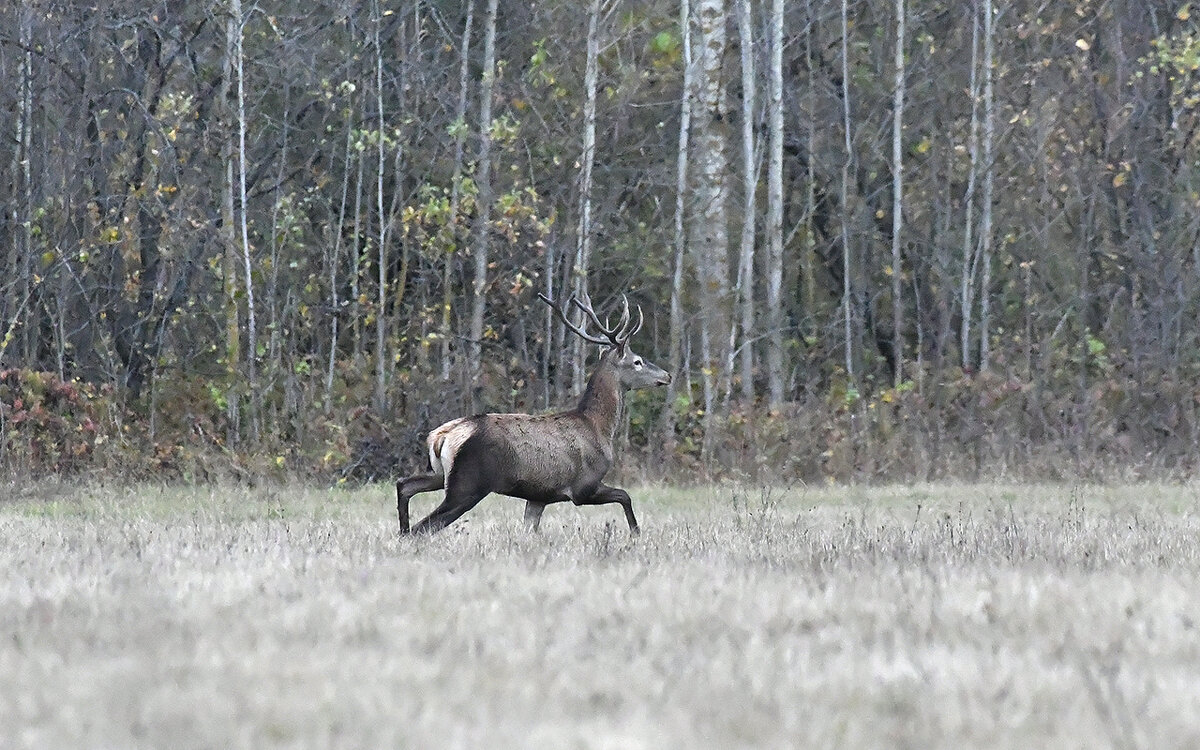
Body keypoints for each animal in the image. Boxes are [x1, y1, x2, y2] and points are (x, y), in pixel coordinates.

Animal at [396, 289, 672, 535]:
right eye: (637, 361)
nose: (667, 375)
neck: (599, 427)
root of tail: (440, 437)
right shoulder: (582, 487)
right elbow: (625, 496)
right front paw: (636, 534)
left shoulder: (540, 495)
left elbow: (530, 529)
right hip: (468, 483)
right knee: (425, 526)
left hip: (440, 473)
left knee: (404, 485)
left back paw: (401, 530)